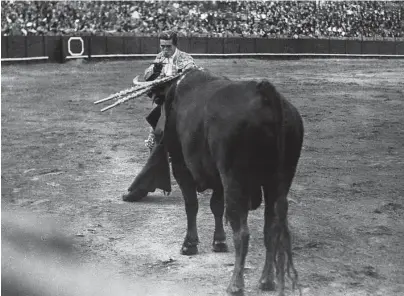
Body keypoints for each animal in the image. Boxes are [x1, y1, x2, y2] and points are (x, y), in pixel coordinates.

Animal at [130, 68, 304, 294]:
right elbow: (216, 206)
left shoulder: (181, 166)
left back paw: (235, 284)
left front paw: (189, 244)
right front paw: (219, 241)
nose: (158, 131)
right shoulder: (219, 179)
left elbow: (192, 205)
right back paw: (266, 280)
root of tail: (264, 92)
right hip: (278, 181)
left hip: (234, 178)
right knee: (271, 229)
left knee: (242, 232)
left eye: (159, 103)